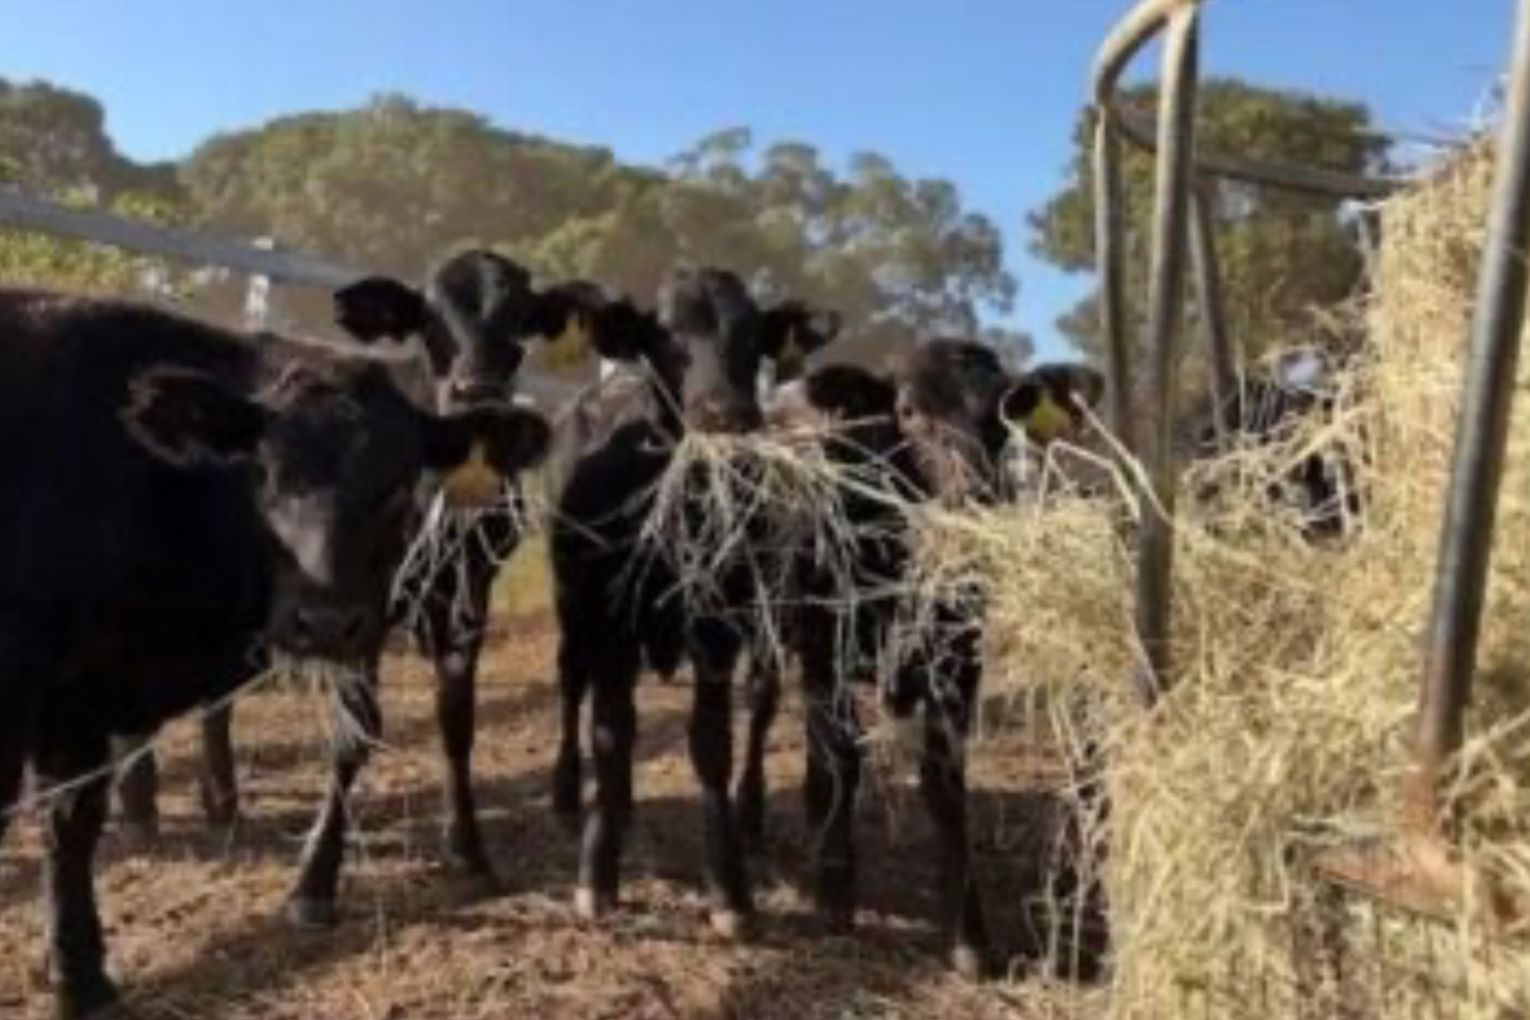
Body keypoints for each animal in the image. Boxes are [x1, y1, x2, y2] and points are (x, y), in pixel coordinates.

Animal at [0, 289, 552, 1019]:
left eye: (401, 484)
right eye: (263, 473)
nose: (323, 620)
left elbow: (70, 819)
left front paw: (77, 971)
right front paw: (80, 975)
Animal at [115, 249, 591, 894]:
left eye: (521, 325)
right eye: (428, 321)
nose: (474, 390)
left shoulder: (469, 601)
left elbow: (456, 722)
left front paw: (469, 848)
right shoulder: (355, 611)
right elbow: (355, 729)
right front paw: (315, 880)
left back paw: (221, 800)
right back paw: (139, 804)